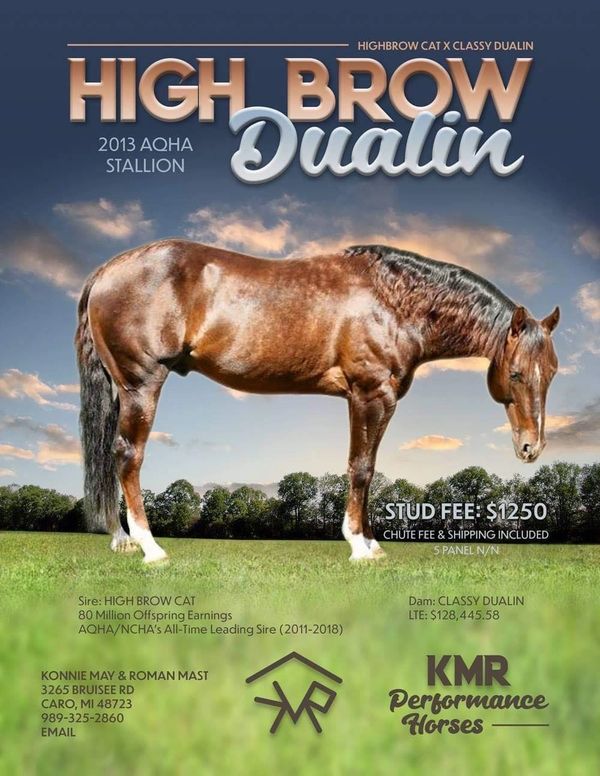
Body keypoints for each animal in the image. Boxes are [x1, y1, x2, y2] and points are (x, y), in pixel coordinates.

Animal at [75, 241, 559, 563]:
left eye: (552, 372)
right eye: (516, 373)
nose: (530, 447)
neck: (394, 301)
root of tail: (108, 269)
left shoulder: (376, 399)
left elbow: (370, 468)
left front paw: (372, 543)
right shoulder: (369, 393)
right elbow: (360, 468)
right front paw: (359, 545)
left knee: (112, 454)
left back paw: (120, 539)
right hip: (142, 384)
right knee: (128, 455)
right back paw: (149, 546)